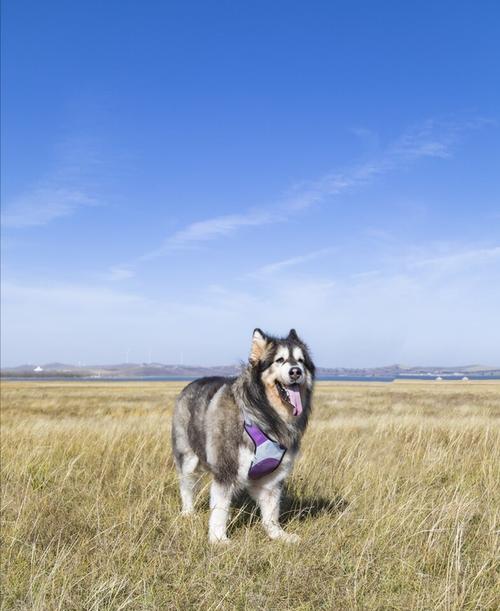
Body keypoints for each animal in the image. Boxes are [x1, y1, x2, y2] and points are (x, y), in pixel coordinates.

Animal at [170, 328, 314, 544]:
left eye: (301, 360)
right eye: (279, 360)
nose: (295, 371)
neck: (264, 414)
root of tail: (191, 383)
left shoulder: (272, 477)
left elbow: (271, 509)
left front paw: (278, 534)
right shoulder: (226, 469)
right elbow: (220, 510)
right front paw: (219, 540)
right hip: (187, 457)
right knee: (186, 486)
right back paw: (188, 513)